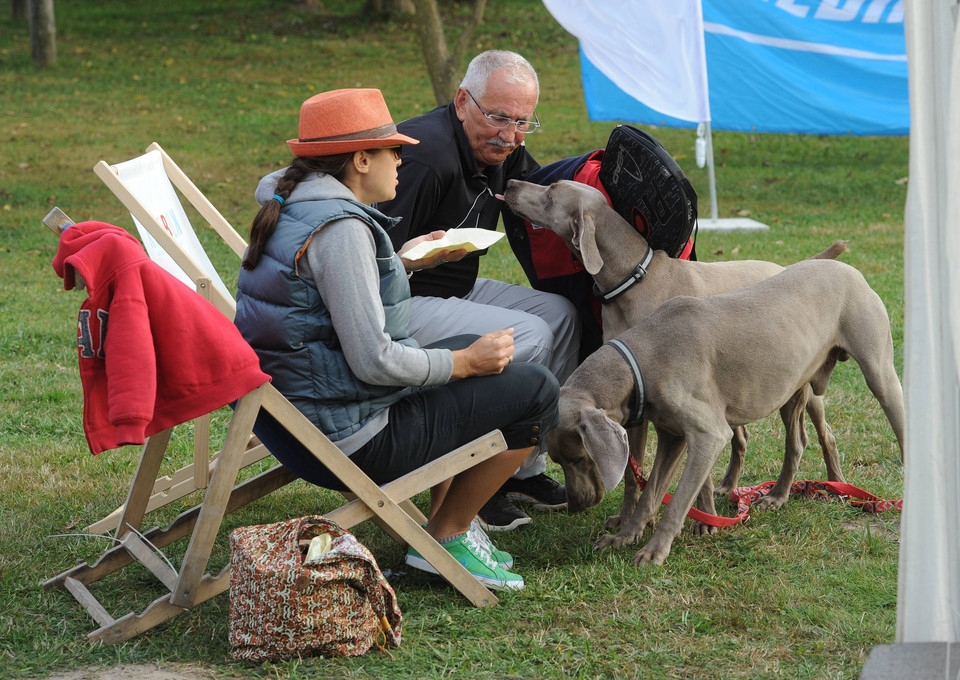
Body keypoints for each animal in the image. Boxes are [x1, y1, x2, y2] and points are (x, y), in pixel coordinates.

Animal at [502, 178, 848, 524]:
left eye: (551, 190)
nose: (511, 183)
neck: (632, 281)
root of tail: (786, 266)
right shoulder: (634, 398)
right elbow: (633, 472)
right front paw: (628, 519)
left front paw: (699, 520)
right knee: (746, 437)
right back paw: (732, 485)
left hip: (797, 385)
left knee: (822, 434)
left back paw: (834, 485)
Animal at [544, 258, 904, 564]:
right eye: (557, 460)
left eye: (577, 457)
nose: (574, 506)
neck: (640, 363)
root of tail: (848, 267)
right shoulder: (672, 436)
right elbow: (650, 492)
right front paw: (625, 536)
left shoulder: (708, 434)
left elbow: (678, 501)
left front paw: (655, 551)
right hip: (792, 385)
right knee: (799, 441)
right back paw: (782, 495)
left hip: (879, 372)